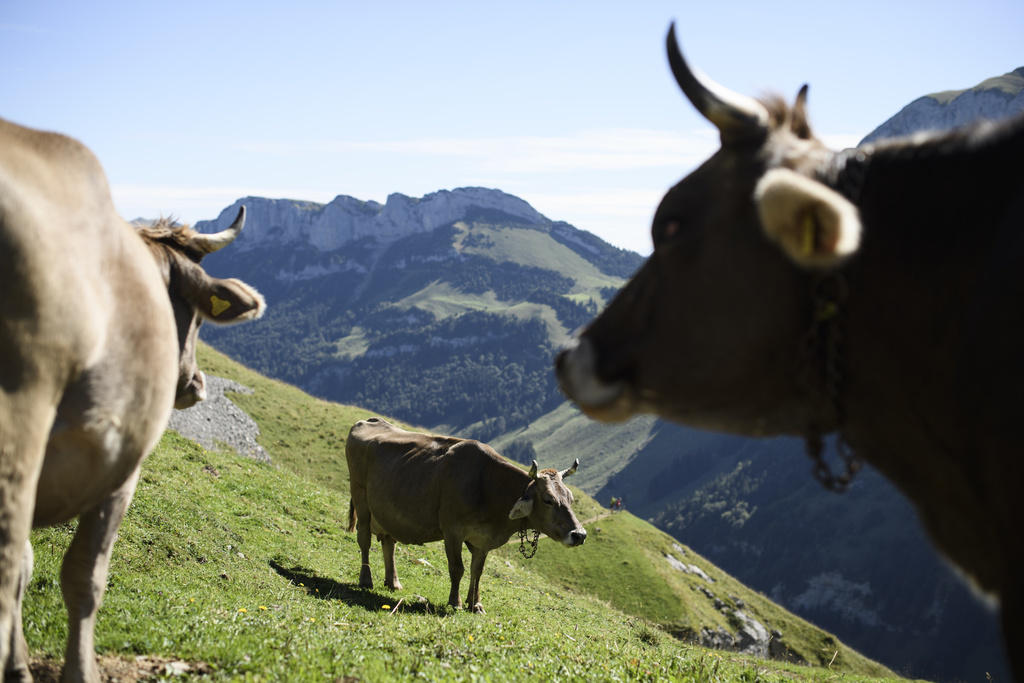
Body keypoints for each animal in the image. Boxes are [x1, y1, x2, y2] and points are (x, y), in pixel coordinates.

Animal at [344, 417, 585, 614]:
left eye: (570, 498)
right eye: (548, 500)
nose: (579, 534)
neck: (488, 487)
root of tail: (370, 420)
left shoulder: (482, 539)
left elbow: (477, 571)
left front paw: (475, 604)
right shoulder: (452, 531)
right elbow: (457, 568)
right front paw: (456, 602)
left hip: (386, 510)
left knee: (389, 542)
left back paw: (393, 582)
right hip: (361, 498)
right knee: (364, 538)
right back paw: (366, 580)